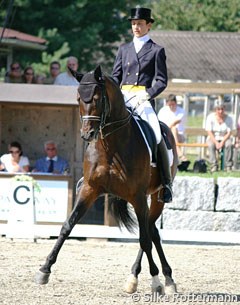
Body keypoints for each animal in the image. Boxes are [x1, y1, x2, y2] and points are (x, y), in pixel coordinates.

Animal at [35, 65, 178, 294]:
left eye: (97, 98)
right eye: (78, 98)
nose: (87, 135)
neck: (111, 146)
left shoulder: (138, 196)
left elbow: (144, 240)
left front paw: (155, 281)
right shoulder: (89, 189)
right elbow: (67, 226)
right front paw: (44, 269)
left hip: (156, 197)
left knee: (149, 232)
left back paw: (161, 279)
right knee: (152, 231)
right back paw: (153, 277)